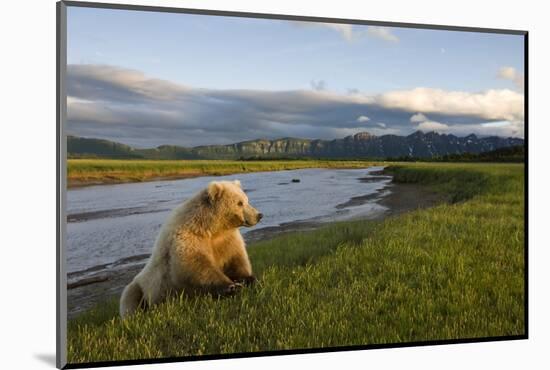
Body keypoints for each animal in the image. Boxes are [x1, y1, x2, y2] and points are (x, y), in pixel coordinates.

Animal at [122, 181, 264, 316]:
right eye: (239, 203)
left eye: (246, 199)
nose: (259, 215)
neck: (211, 229)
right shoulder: (188, 238)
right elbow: (196, 265)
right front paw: (231, 287)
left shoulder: (226, 239)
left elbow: (235, 259)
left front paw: (249, 279)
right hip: (143, 286)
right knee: (130, 300)